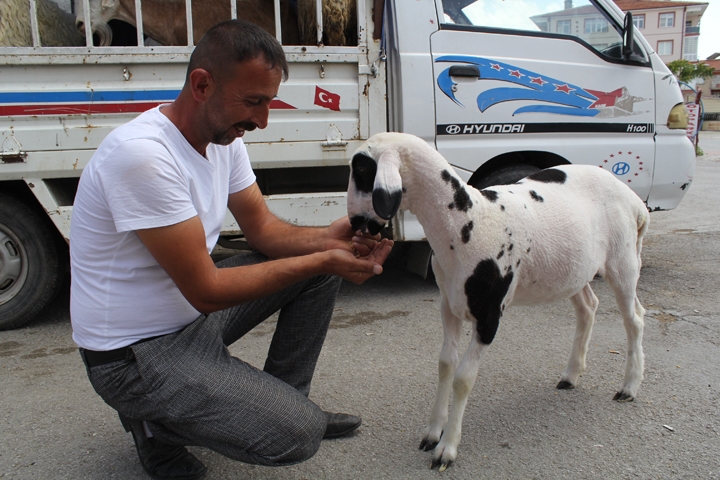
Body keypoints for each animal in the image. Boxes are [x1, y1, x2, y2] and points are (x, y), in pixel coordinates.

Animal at [346, 133, 648, 470]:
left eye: (361, 169)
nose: (354, 222)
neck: (465, 223)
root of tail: (635, 201)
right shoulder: (448, 304)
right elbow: (445, 365)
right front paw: (432, 433)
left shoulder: (489, 315)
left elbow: (463, 378)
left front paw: (447, 449)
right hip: (573, 268)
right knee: (588, 307)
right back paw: (571, 376)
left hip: (623, 259)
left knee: (634, 319)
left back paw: (629, 387)